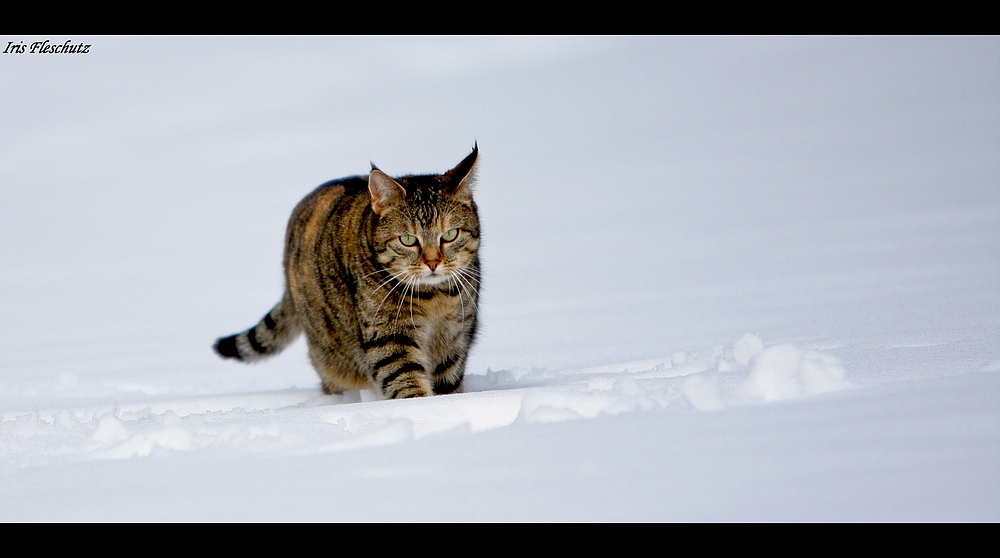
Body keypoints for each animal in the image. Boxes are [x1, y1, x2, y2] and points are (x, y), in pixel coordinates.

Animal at [217, 144, 482, 398]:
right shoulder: (388, 337)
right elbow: (405, 379)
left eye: (450, 235)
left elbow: (448, 382)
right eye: (408, 240)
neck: (434, 299)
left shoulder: (454, 339)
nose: (433, 262)